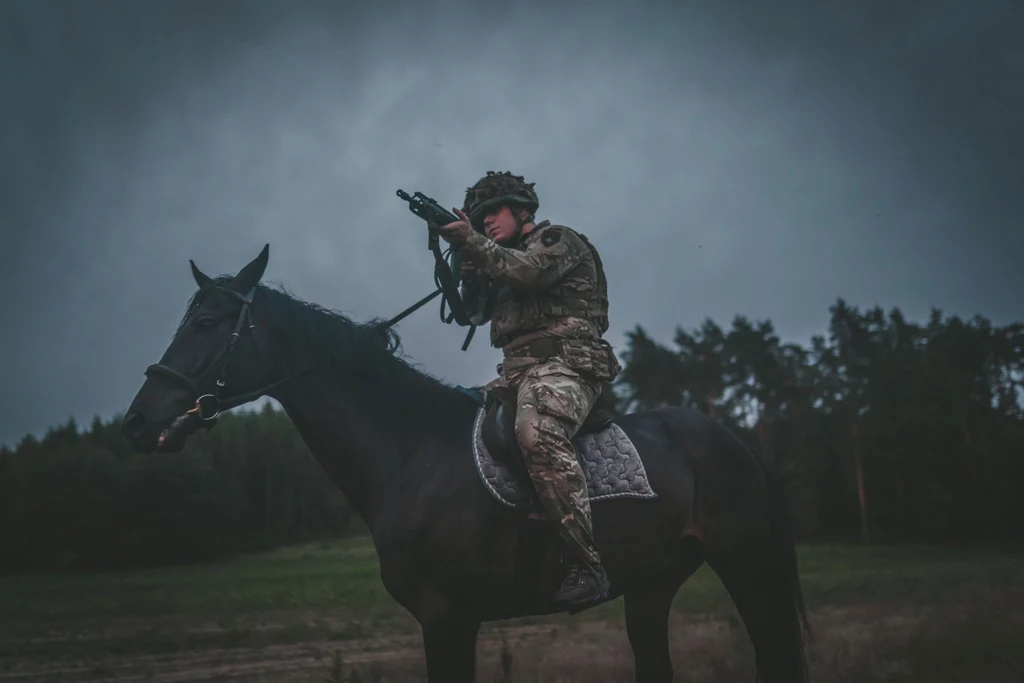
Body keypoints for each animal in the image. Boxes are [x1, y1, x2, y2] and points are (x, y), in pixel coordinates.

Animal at [121, 246, 806, 683]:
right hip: (650, 588)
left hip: (748, 569)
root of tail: (735, 441)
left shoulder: (449, 618)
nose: (138, 421)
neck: (411, 455)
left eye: (208, 322)